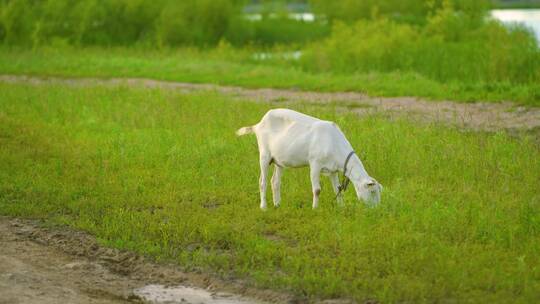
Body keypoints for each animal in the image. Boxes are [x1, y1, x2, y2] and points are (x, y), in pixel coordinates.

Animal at [237, 108, 384, 210]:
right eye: (372, 192)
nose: (376, 209)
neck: (334, 141)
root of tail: (258, 124)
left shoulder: (333, 170)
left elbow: (338, 189)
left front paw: (341, 207)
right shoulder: (315, 164)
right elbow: (317, 190)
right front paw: (315, 208)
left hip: (279, 160)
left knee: (275, 182)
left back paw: (277, 204)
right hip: (264, 155)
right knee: (263, 181)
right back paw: (264, 207)